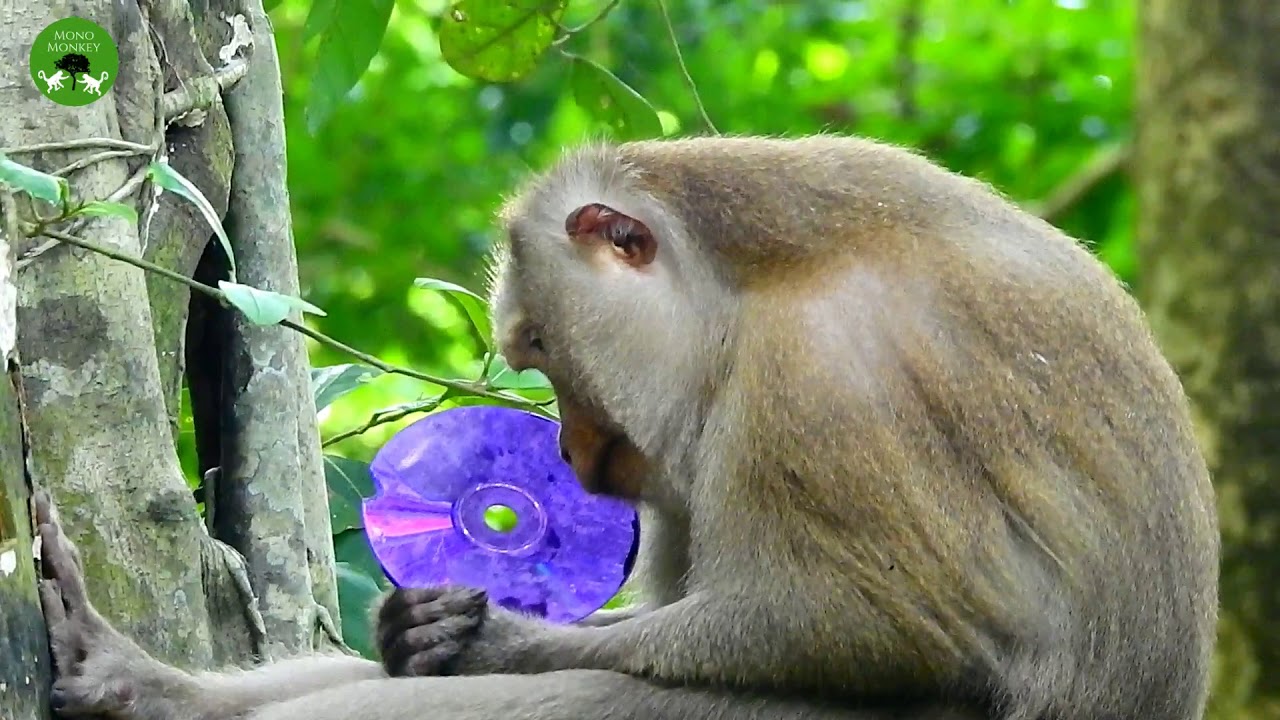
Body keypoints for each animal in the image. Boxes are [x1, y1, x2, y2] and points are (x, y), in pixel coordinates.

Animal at [36, 135, 1218, 720]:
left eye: (541, 350)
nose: (570, 449)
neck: (750, 280)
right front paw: (412, 629)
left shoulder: (819, 379)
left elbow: (868, 630)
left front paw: (494, 642)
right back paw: (143, 686)